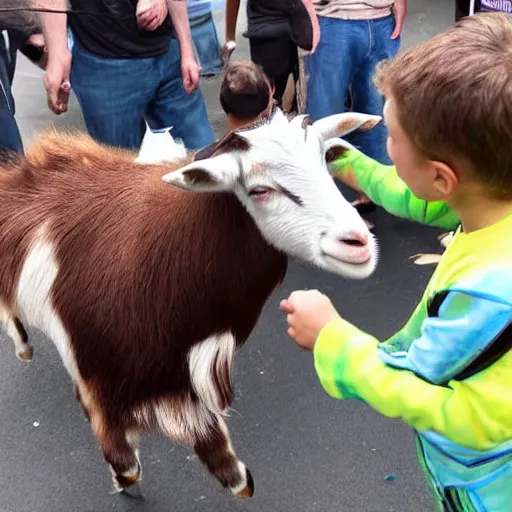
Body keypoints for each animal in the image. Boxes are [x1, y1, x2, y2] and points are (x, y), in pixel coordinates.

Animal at [0, 109, 380, 500]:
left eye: (325, 165)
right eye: (259, 189)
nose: (357, 242)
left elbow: (225, 461)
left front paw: (235, 477)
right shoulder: (100, 376)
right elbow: (122, 454)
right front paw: (123, 478)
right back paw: (23, 346)